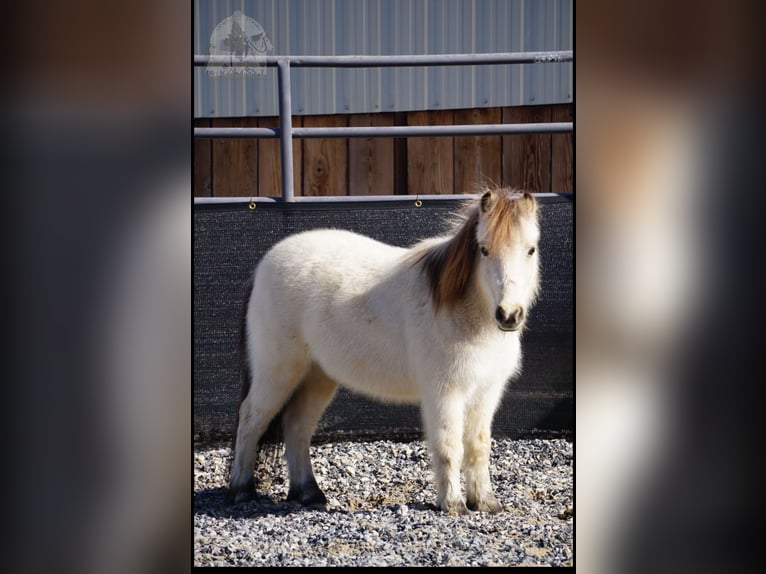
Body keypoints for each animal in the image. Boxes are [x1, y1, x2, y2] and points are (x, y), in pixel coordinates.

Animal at [228, 186, 540, 516]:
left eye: (531, 249)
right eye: (483, 249)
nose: (509, 315)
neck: (464, 311)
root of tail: (264, 266)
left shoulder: (485, 393)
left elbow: (478, 446)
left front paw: (485, 502)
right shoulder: (445, 393)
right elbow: (449, 446)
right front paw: (454, 504)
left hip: (317, 376)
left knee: (297, 425)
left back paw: (308, 492)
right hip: (277, 372)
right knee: (251, 418)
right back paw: (242, 490)